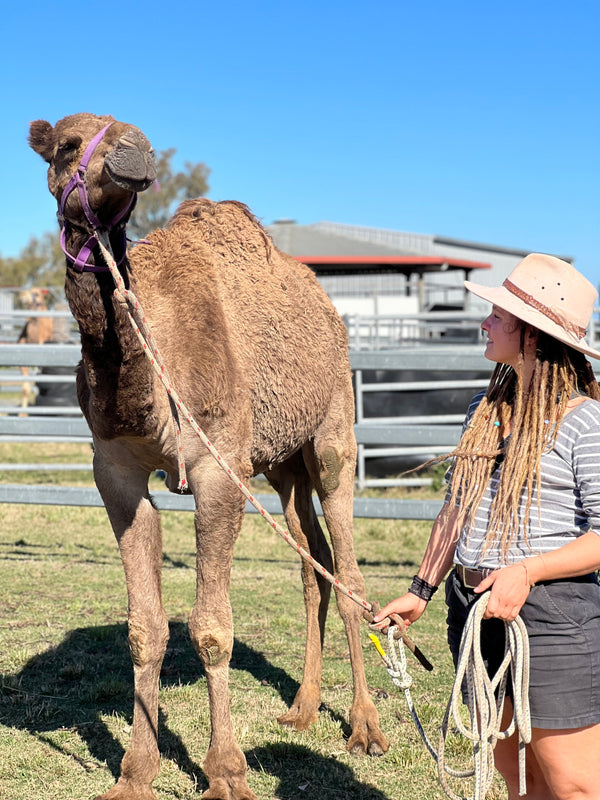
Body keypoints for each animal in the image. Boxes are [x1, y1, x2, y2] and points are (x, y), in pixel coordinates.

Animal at [29, 112, 388, 800]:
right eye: (65, 147)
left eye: (127, 132)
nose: (135, 153)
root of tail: (329, 306)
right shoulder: (115, 472)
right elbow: (146, 629)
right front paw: (135, 772)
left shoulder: (217, 468)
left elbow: (213, 629)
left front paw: (225, 771)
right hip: (278, 462)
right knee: (313, 562)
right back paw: (301, 709)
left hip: (331, 432)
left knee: (349, 568)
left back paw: (364, 726)